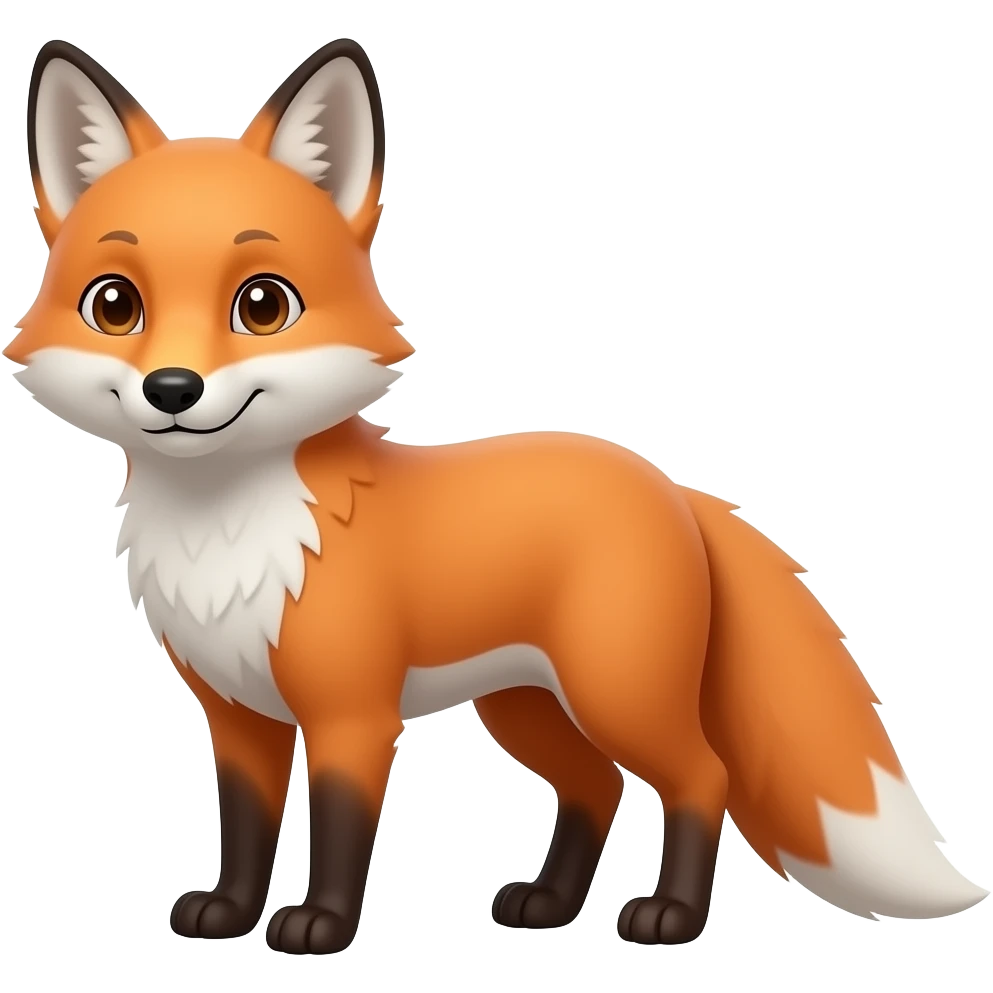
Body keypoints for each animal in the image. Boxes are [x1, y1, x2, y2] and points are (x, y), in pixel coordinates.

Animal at [6, 35, 990, 956]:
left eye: (262, 305)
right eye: (114, 305)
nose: (172, 389)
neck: (226, 535)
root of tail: (670, 483)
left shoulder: (353, 715)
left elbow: (339, 831)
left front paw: (321, 924)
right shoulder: (238, 715)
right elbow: (245, 830)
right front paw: (229, 912)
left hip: (614, 691)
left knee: (696, 776)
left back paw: (668, 915)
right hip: (525, 707)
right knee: (595, 785)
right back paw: (548, 904)